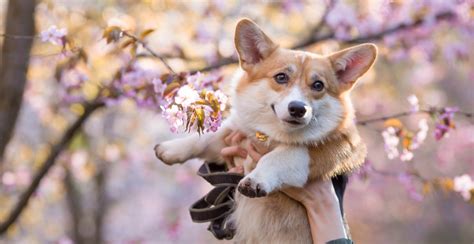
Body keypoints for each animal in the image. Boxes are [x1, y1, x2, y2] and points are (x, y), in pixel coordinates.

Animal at [156, 18, 378, 243]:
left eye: (318, 85)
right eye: (281, 77)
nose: (298, 109)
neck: (273, 134)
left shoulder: (329, 149)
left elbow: (281, 156)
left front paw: (256, 179)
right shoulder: (235, 137)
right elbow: (208, 138)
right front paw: (170, 149)